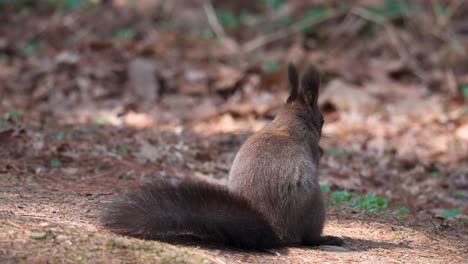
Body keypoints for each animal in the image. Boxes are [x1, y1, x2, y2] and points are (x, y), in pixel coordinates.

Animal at [101, 63, 344, 250]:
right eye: (322, 120)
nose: (325, 132)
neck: (288, 122)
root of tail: (277, 232)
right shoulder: (309, 143)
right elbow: (315, 153)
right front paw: (322, 151)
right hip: (316, 205)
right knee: (308, 239)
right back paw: (326, 238)